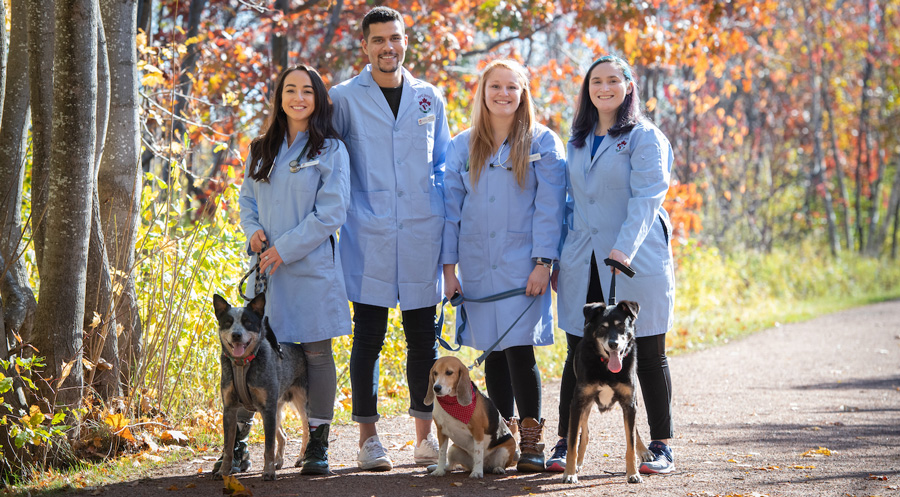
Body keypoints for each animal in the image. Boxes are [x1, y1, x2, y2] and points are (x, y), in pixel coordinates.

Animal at [211, 292, 310, 478]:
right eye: (228, 322)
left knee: (307, 431)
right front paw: (223, 471)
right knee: (283, 436)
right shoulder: (229, 409)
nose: (236, 335)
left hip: (302, 404)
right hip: (276, 409)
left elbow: (268, 446)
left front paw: (268, 472)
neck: (242, 365)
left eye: (247, 322)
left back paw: (302, 459)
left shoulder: (267, 409)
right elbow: (228, 447)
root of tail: (300, 348)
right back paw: (279, 461)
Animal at [564, 300, 652, 482]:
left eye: (621, 326)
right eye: (603, 327)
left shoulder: (629, 404)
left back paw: (644, 451)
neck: (605, 366)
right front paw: (569, 473)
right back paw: (578, 462)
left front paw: (633, 473)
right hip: (585, 405)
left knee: (633, 432)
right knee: (585, 433)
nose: (613, 344)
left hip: (632, 402)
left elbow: (631, 442)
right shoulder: (577, 404)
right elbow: (572, 443)